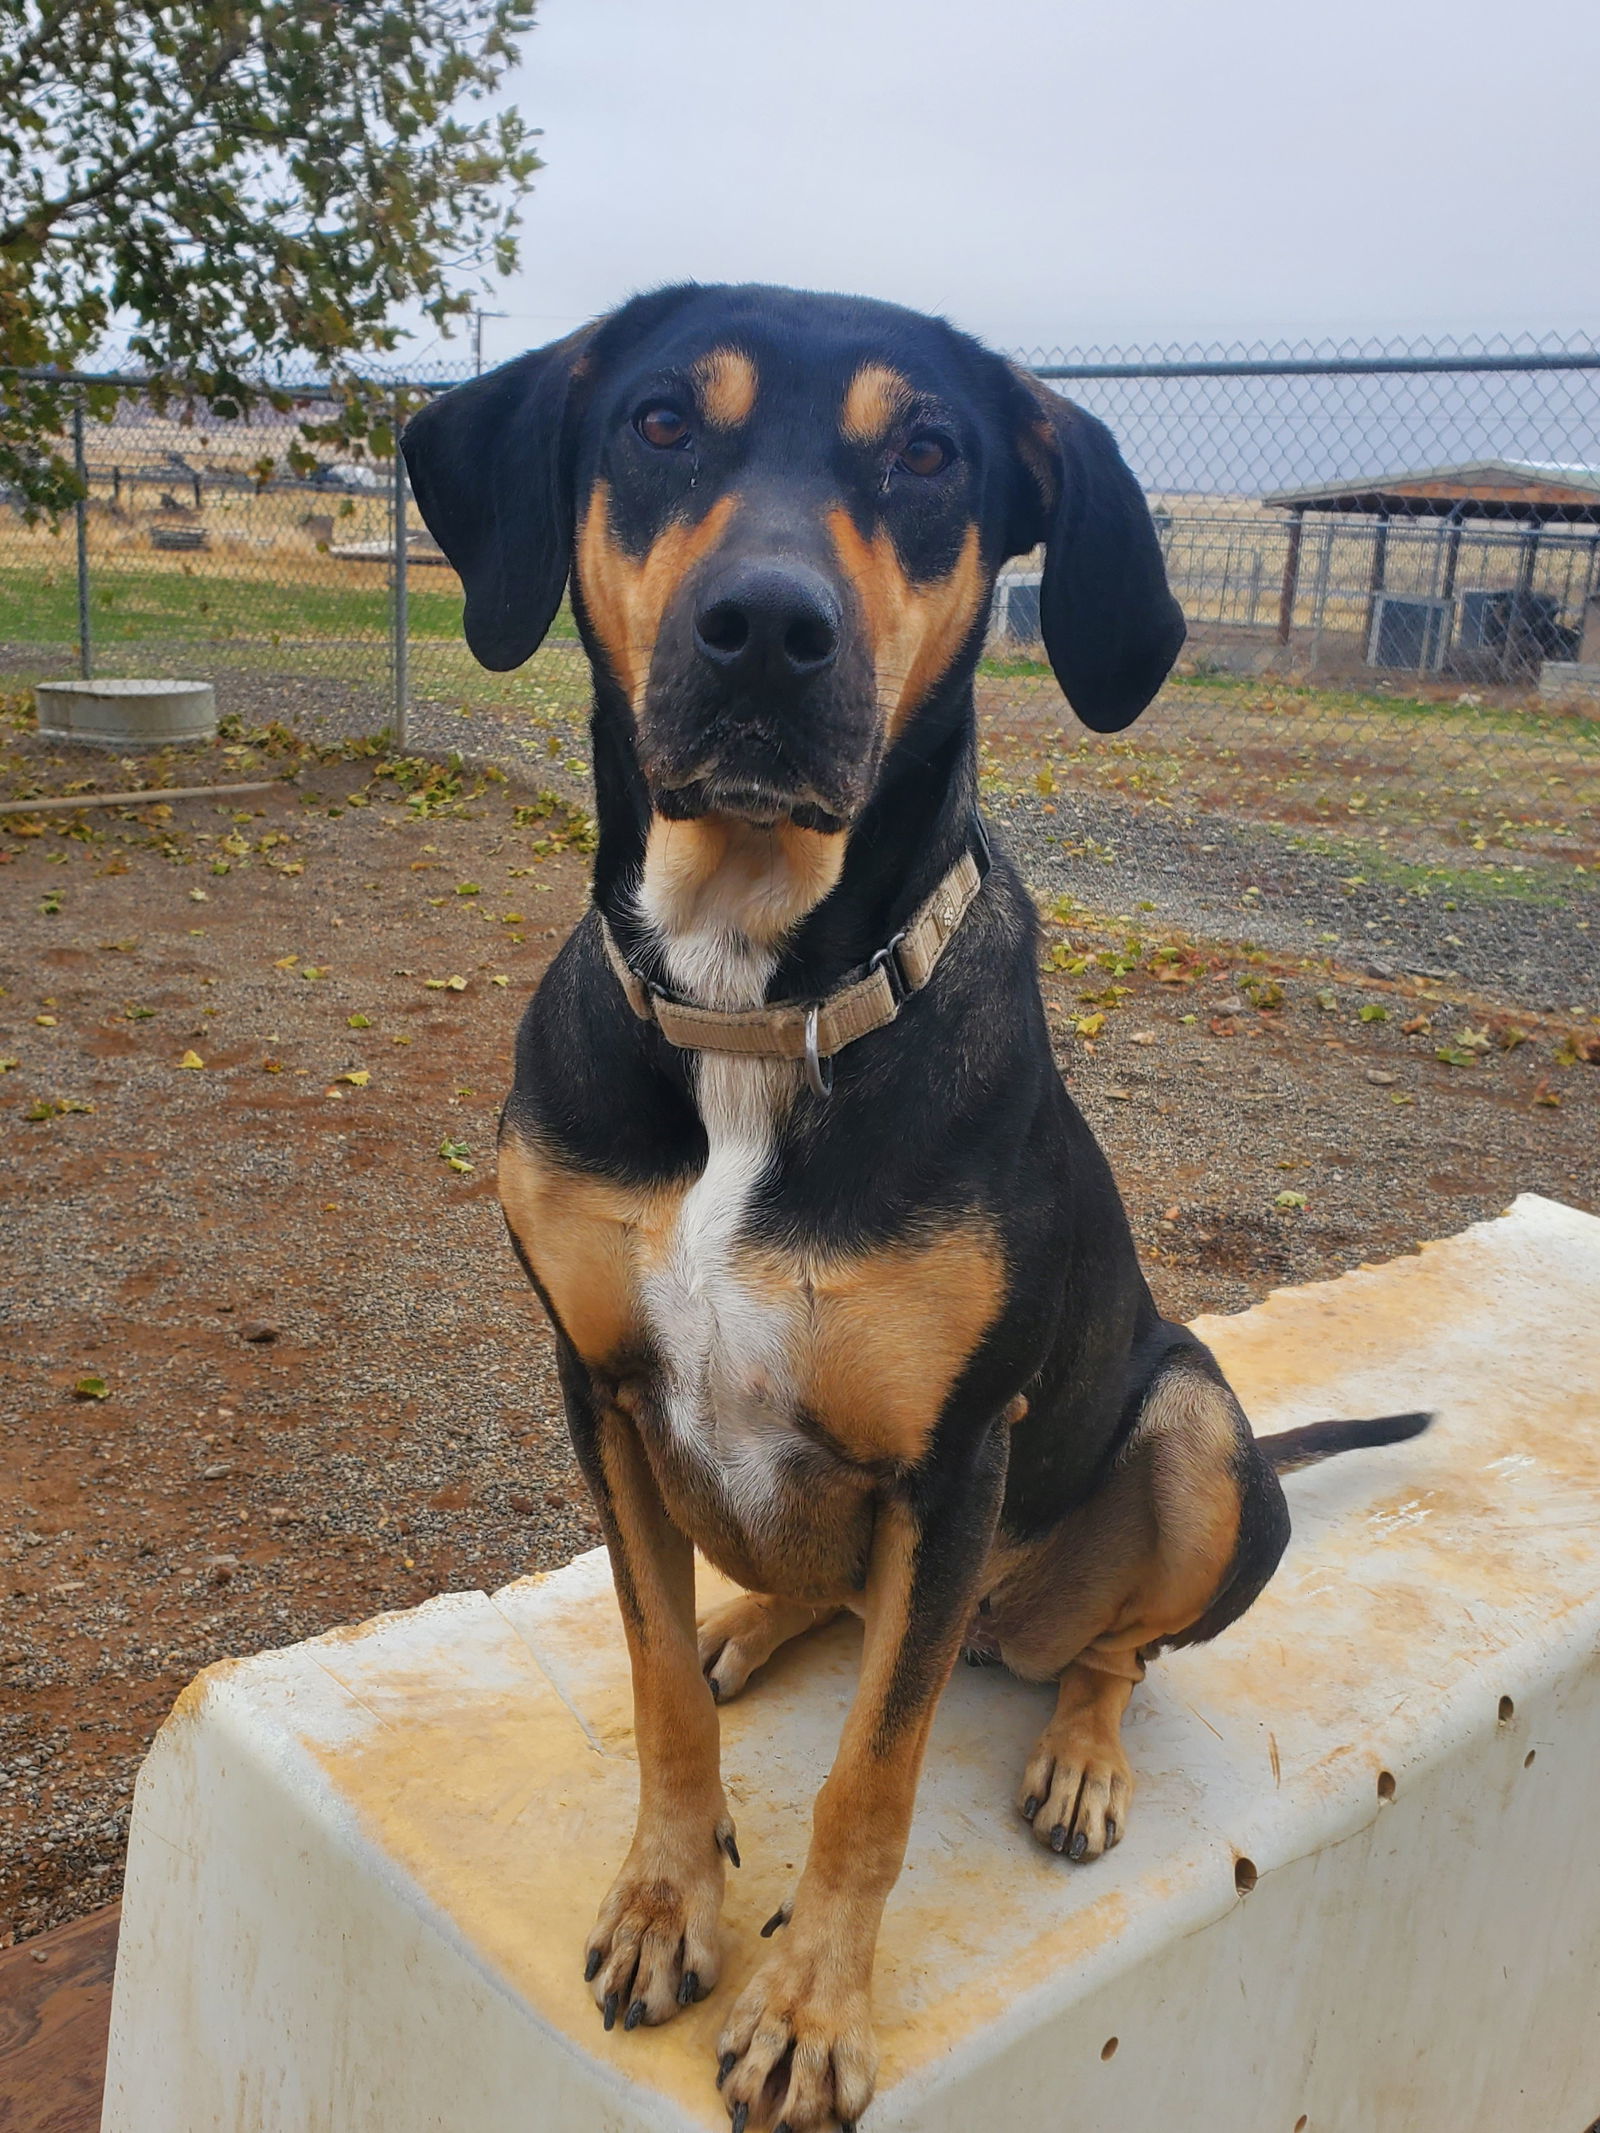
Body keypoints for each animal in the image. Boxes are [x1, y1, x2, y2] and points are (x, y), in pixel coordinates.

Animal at [407, 287, 1433, 2133]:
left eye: (933, 453)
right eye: (660, 421)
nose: (765, 630)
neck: (754, 1002)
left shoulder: (958, 1456)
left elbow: (870, 1781)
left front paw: (813, 2011)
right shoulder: (599, 1390)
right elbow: (656, 1689)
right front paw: (666, 1900)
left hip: (1187, 1428)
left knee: (1110, 1652)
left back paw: (1078, 1750)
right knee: (823, 1603)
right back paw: (756, 1616)